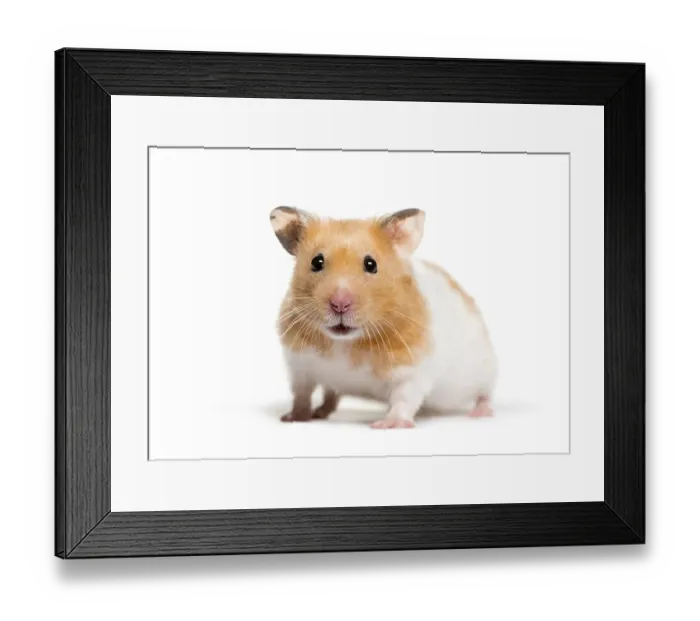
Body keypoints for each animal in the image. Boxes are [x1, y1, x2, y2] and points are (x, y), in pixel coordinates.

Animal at [269, 206, 498, 429]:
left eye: (371, 264)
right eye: (316, 262)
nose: (340, 304)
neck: (345, 343)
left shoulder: (413, 369)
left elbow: (404, 398)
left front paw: (387, 424)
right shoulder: (299, 365)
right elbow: (302, 394)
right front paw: (293, 417)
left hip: (484, 368)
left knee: (485, 393)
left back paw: (481, 413)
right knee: (330, 395)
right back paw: (320, 412)